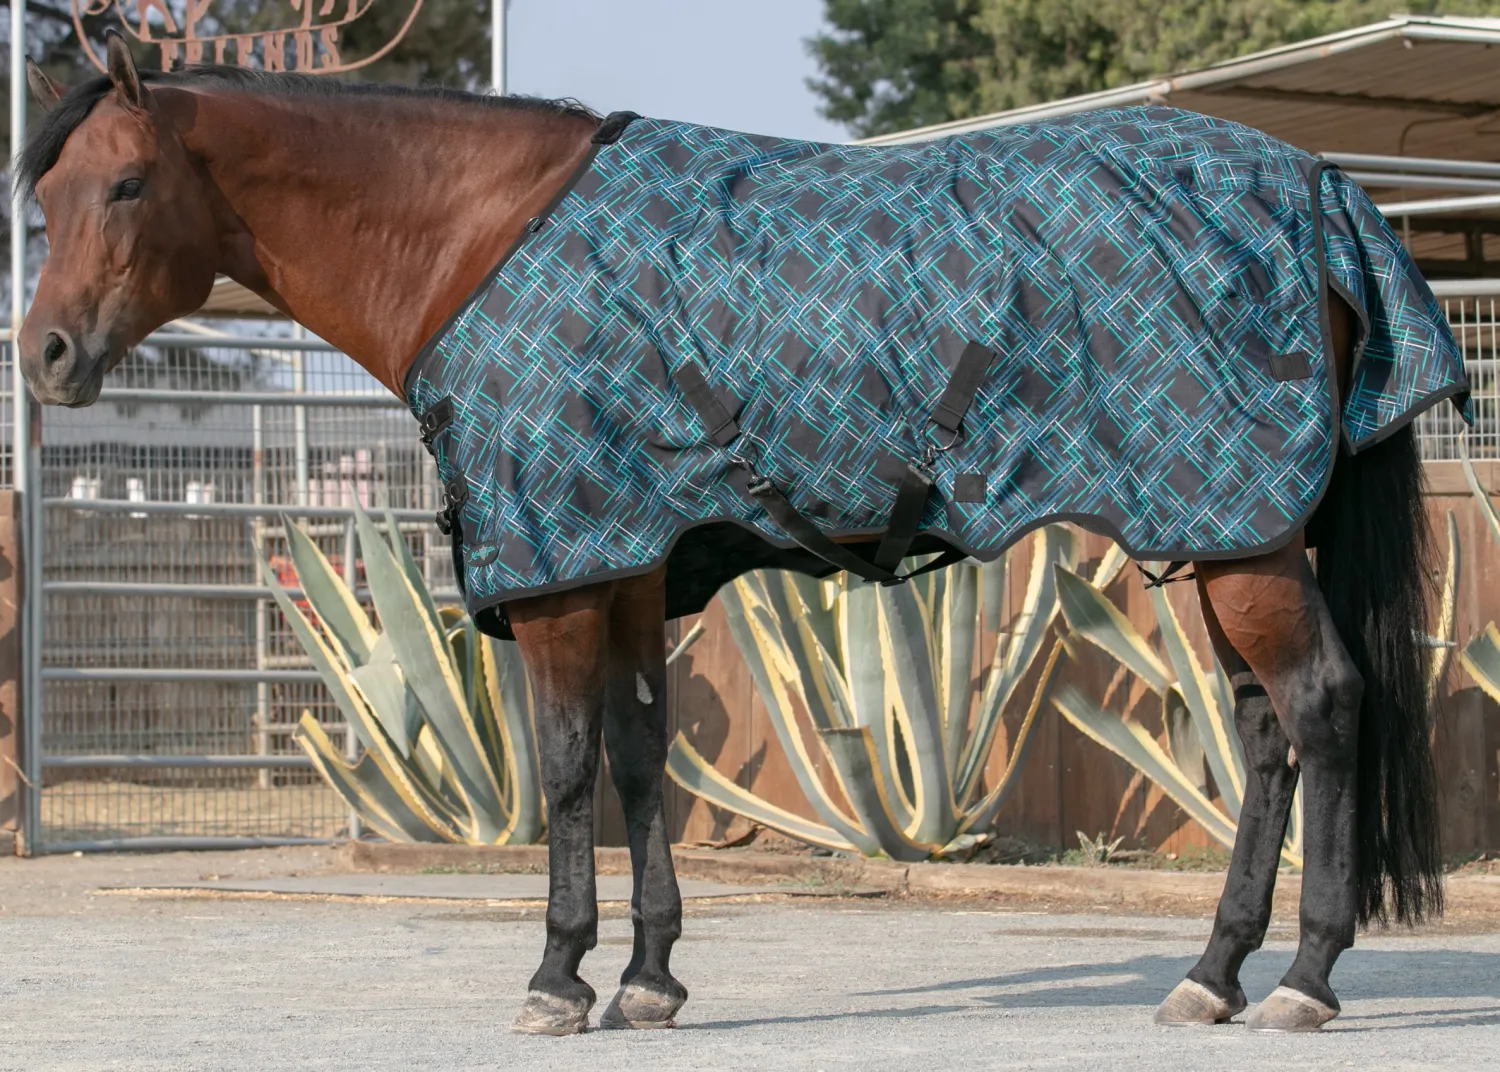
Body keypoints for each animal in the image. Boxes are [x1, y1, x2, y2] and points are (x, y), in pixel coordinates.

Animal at [15, 34, 1466, 1034]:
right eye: (48, 198)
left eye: (128, 184)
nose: (46, 356)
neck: (479, 240)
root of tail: (1321, 187)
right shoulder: (628, 569)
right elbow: (642, 760)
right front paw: (651, 977)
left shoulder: (561, 576)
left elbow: (564, 771)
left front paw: (558, 977)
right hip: (1224, 535)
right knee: (1267, 733)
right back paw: (1212, 974)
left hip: (1242, 539)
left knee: (1323, 706)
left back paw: (1306, 978)